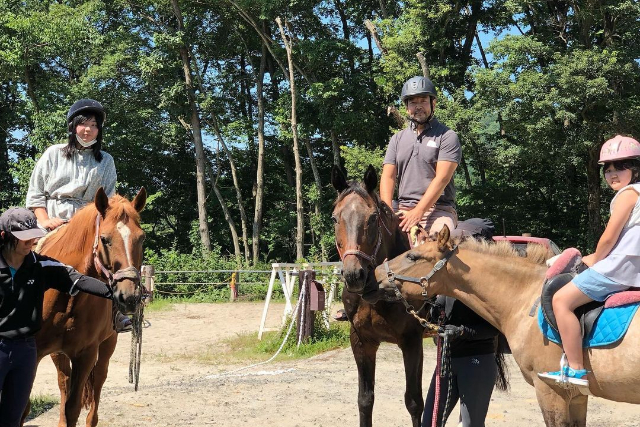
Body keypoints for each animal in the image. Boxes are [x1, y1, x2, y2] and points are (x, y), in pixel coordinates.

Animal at [331, 165, 431, 427]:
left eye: (373, 218)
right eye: (335, 218)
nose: (354, 275)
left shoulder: (412, 342)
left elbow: (414, 402)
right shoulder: (361, 341)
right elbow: (365, 400)